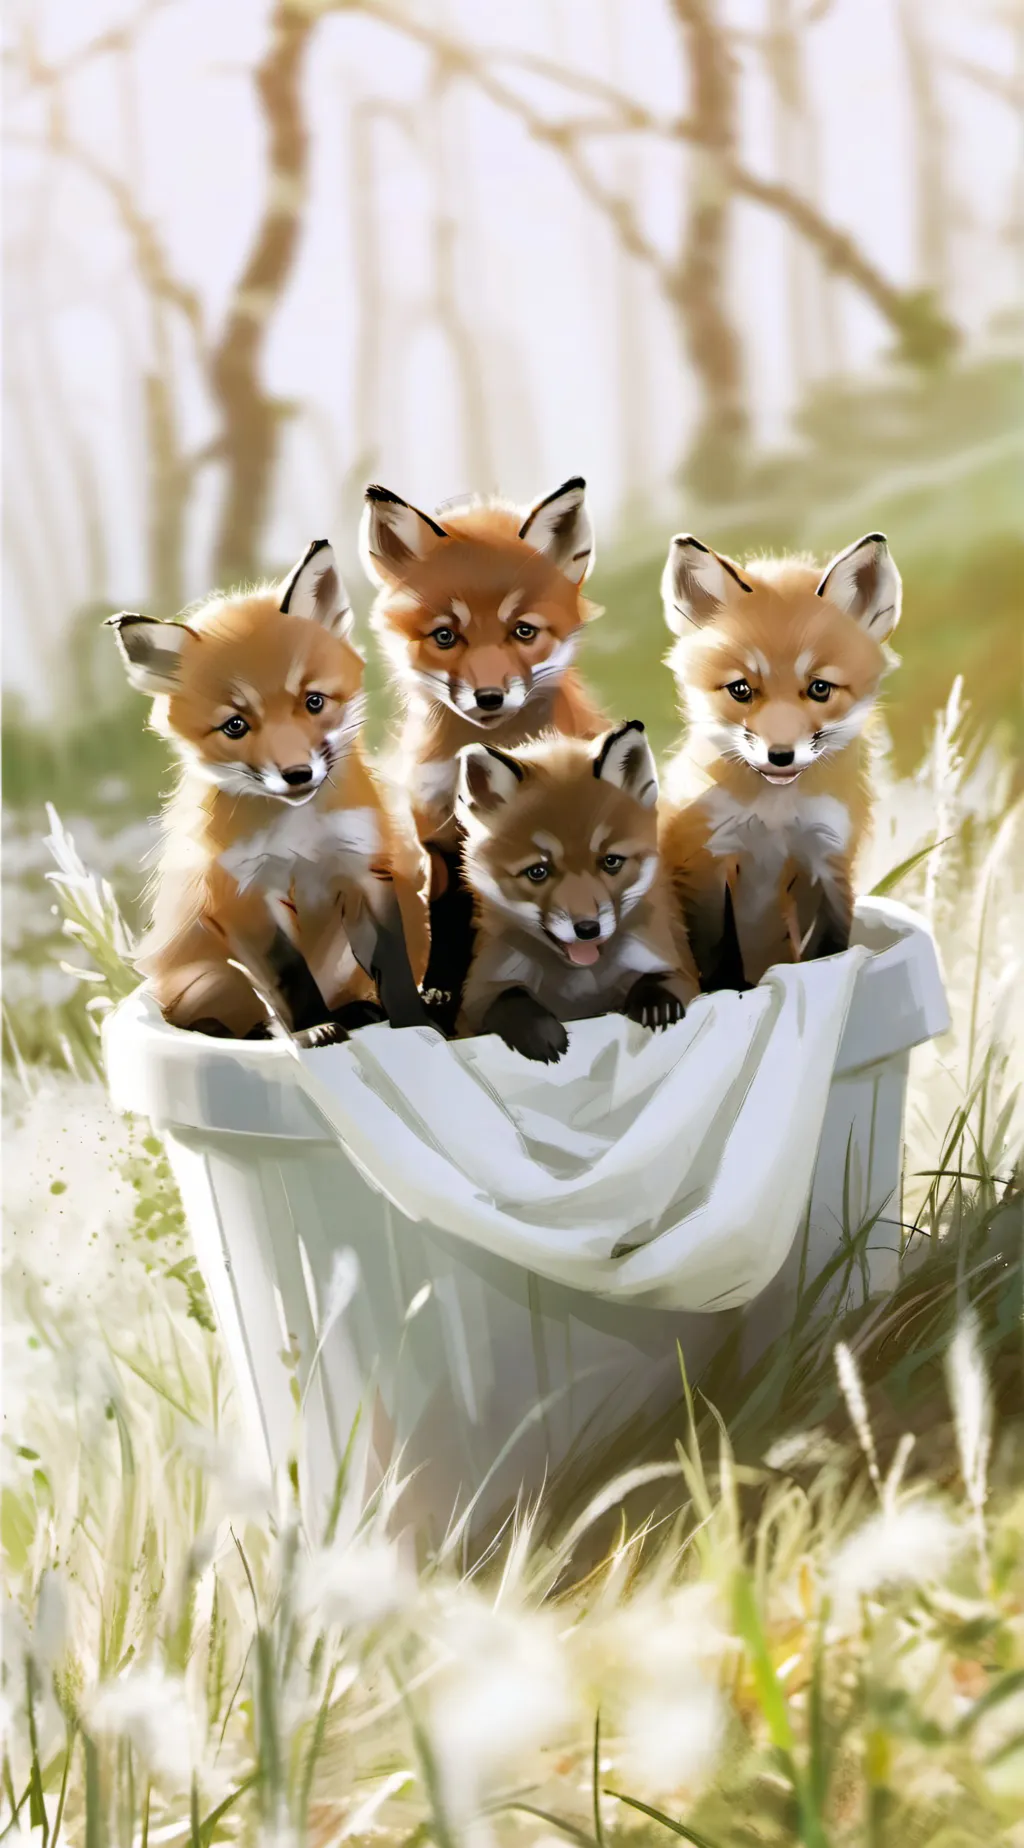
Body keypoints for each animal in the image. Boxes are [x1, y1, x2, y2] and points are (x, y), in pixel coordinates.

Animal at [107, 540, 433, 1042]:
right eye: (235, 726)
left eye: (313, 702)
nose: (298, 774)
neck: (298, 835)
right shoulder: (245, 897)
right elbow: (289, 977)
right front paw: (314, 1030)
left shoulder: (365, 872)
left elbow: (392, 965)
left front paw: (415, 1022)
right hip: (212, 979)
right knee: (225, 1018)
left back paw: (360, 1010)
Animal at [360, 474, 609, 1026]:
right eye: (445, 636)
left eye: (523, 631)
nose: (490, 697)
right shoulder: (437, 838)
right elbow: (447, 921)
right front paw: (438, 991)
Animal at [455, 721, 700, 1064]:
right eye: (538, 871)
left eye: (610, 861)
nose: (587, 929)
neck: (581, 986)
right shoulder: (475, 998)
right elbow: (509, 997)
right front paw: (539, 1031)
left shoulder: (677, 965)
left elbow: (659, 978)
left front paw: (656, 1005)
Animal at [657, 530, 902, 990]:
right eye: (741, 689)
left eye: (820, 688)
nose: (781, 755)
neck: (775, 816)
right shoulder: (706, 860)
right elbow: (717, 958)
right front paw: (728, 993)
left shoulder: (826, 862)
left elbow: (828, 950)